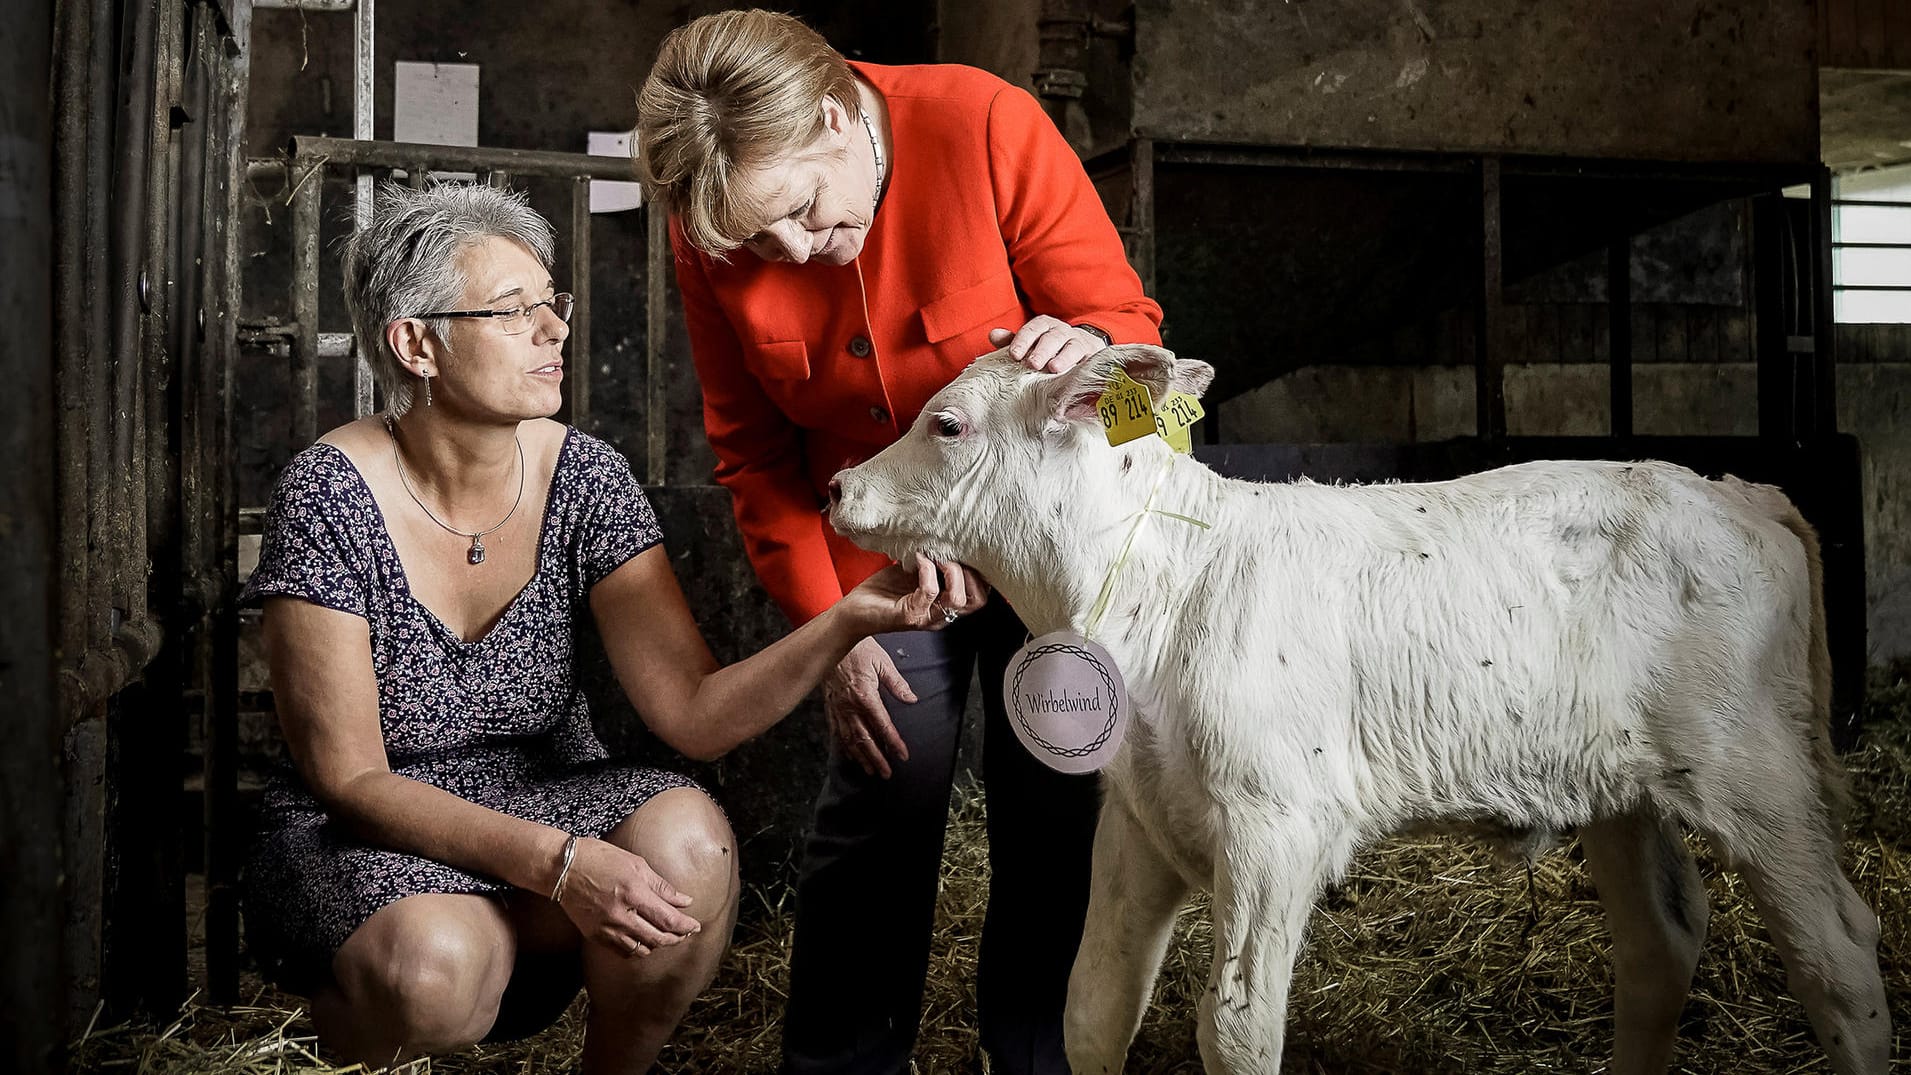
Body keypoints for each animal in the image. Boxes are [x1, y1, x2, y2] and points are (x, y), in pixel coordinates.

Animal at [829, 347, 1888, 1075]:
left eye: (946, 424)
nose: (838, 485)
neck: (1161, 588)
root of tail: (1743, 491)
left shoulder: (1274, 824)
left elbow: (1236, 1028)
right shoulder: (1139, 813)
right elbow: (1092, 1007)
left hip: (1752, 766)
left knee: (1838, 956)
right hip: (1620, 786)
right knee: (1661, 944)